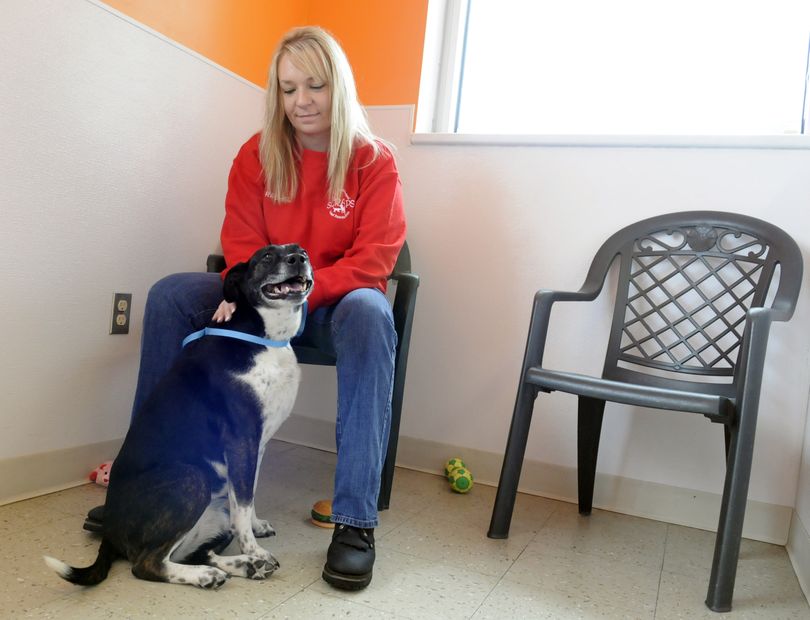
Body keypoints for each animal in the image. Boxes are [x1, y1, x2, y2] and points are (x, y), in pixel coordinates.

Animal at [45, 243, 312, 592]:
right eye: (266, 256)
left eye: (301, 250)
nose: (300, 259)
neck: (263, 337)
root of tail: (110, 534)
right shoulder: (242, 439)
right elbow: (243, 504)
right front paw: (254, 547)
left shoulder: (257, 445)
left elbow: (249, 494)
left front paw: (256, 533)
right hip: (191, 479)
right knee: (147, 564)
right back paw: (217, 571)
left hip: (214, 515)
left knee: (196, 552)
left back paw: (243, 566)